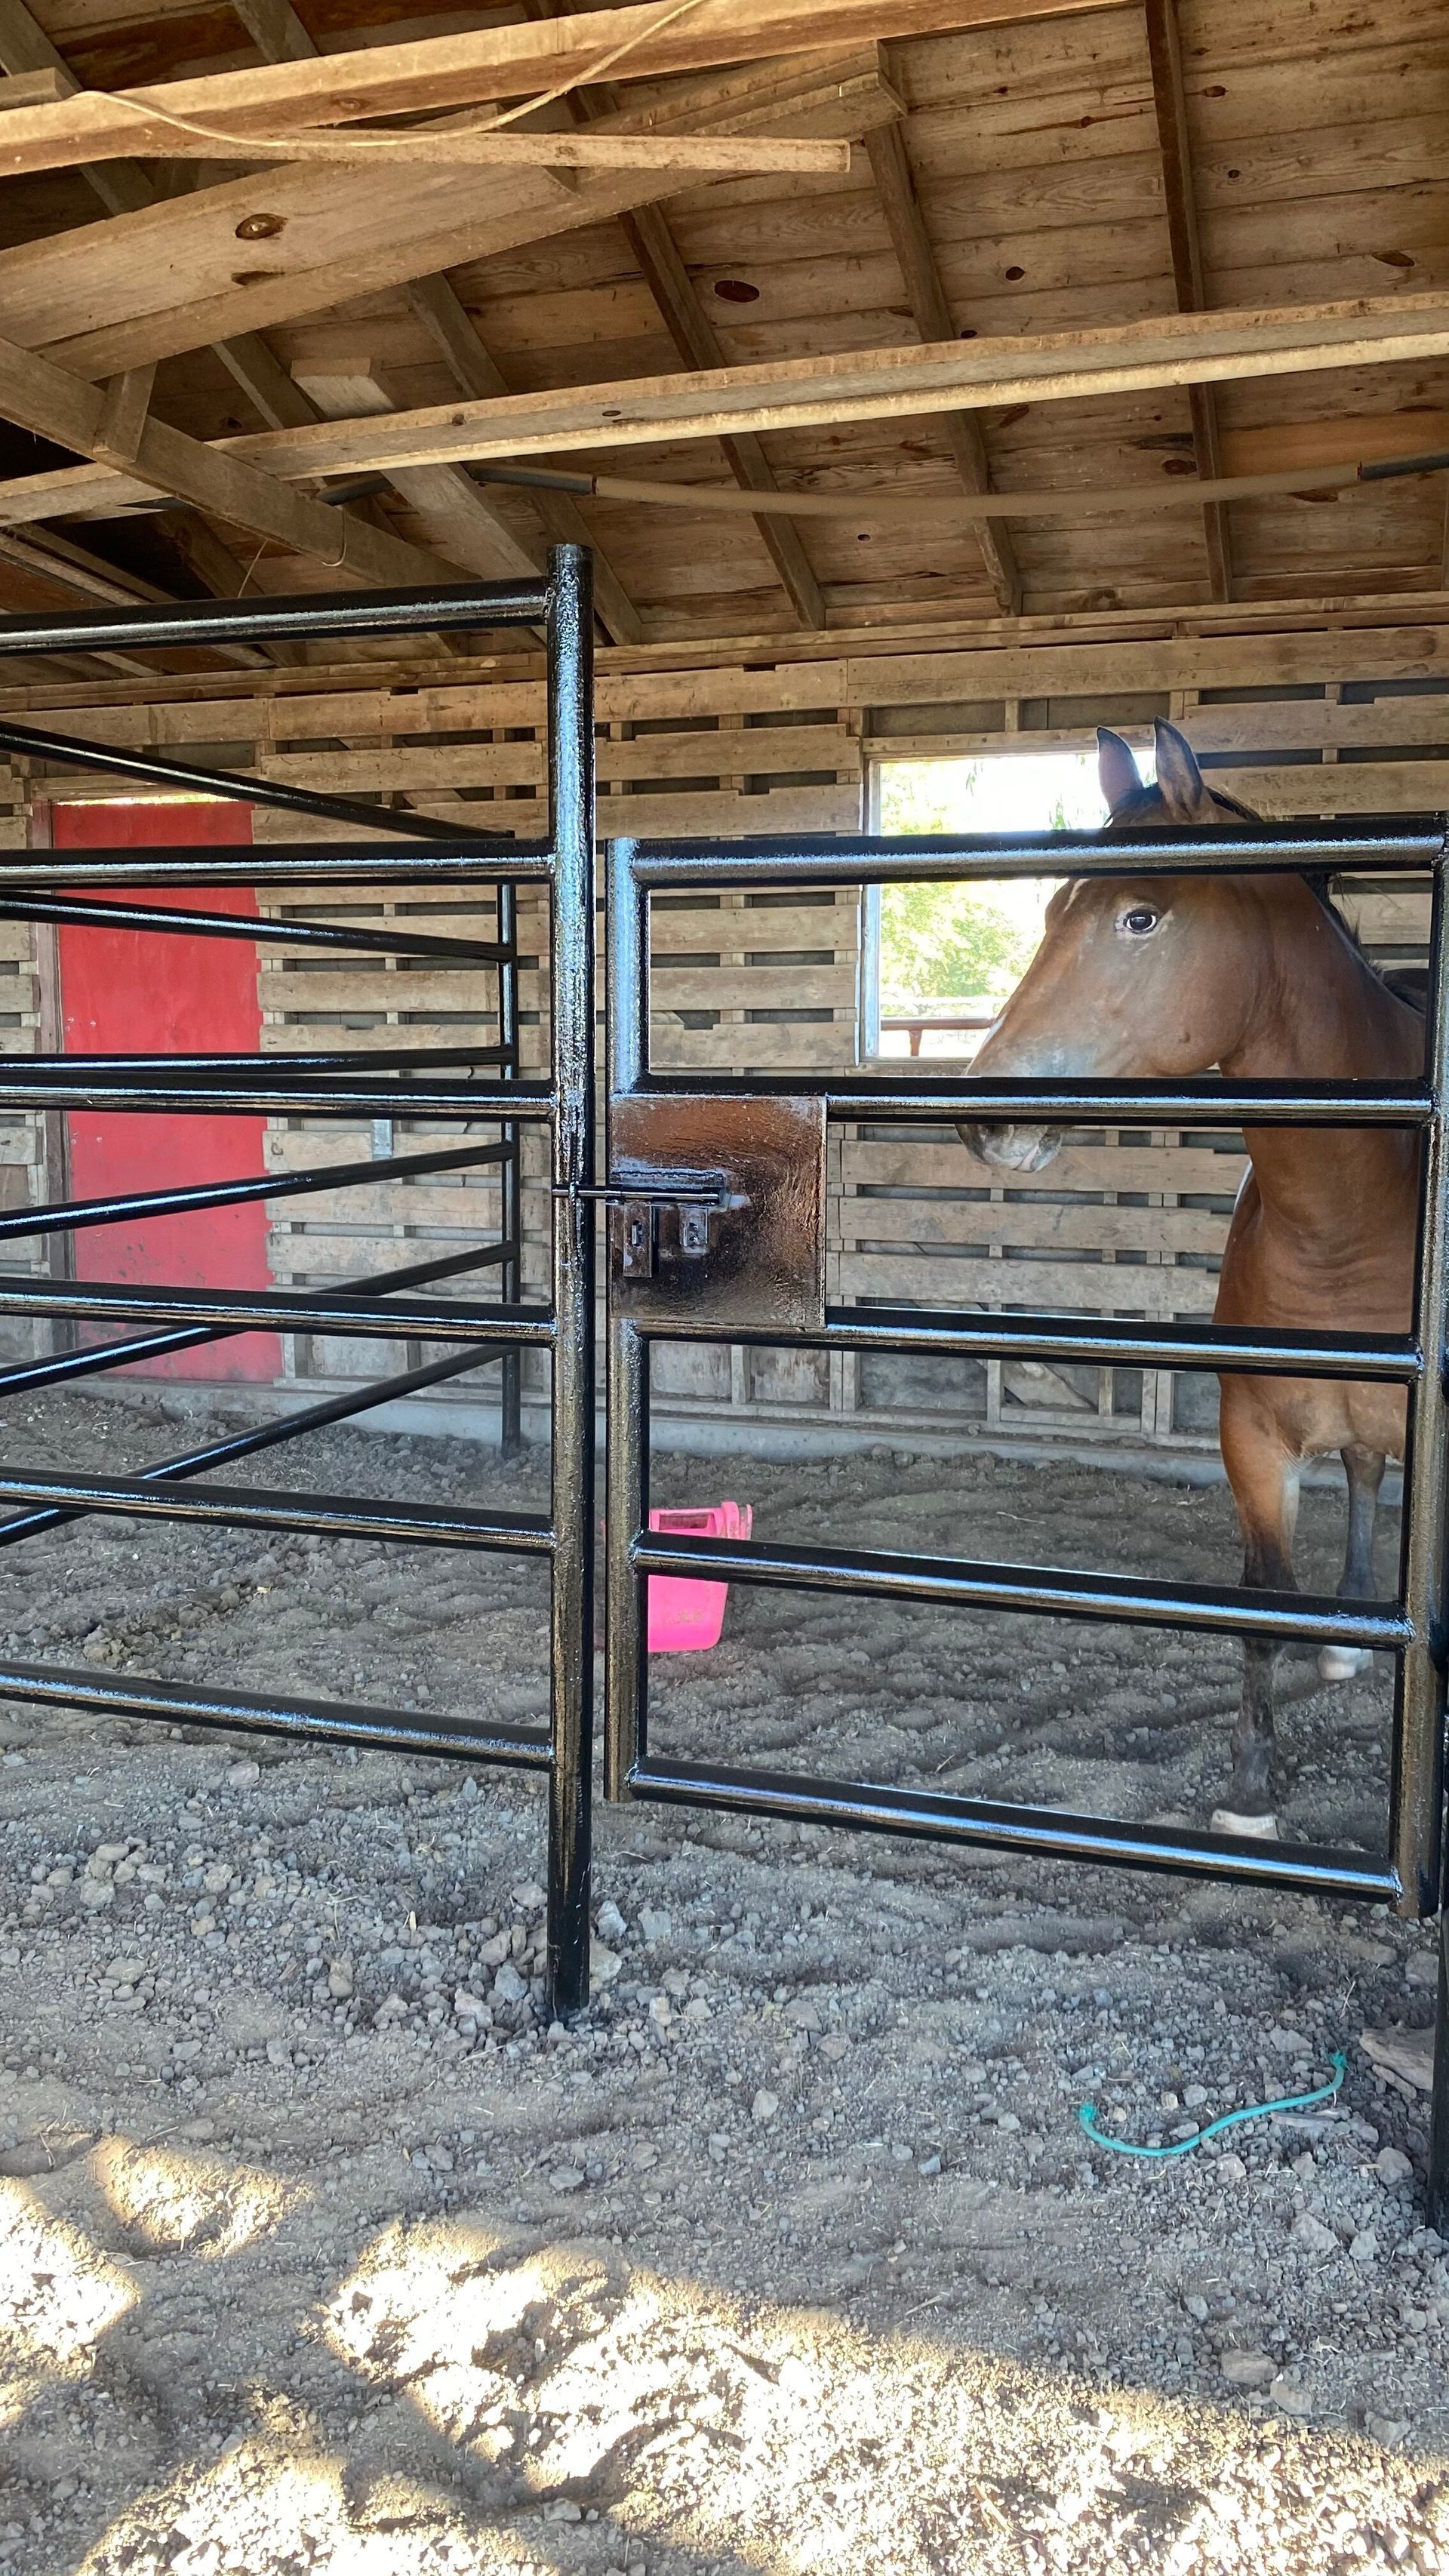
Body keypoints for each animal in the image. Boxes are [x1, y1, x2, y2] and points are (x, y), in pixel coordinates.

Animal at [960, 718, 1423, 1837]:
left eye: (1141, 915)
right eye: (1052, 908)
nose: (984, 1116)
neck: (1354, 1215)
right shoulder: (1252, 1440)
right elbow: (1256, 1607)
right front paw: (1251, 1791)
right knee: (1360, 1472)